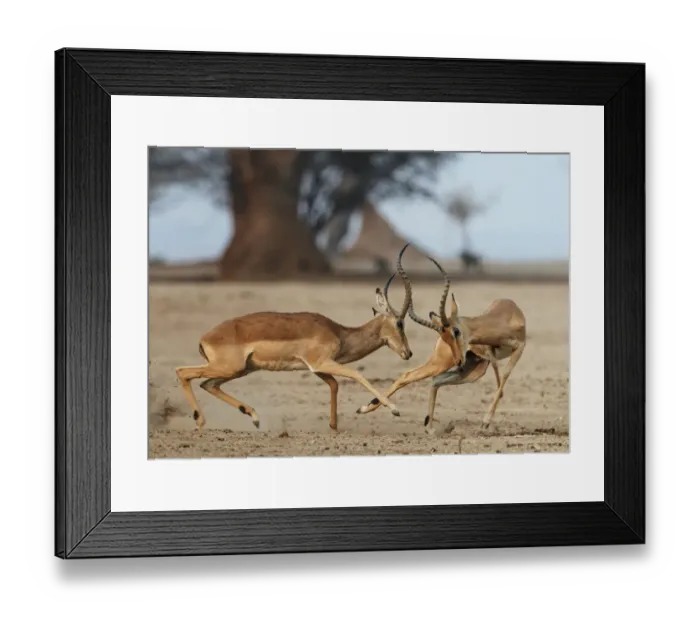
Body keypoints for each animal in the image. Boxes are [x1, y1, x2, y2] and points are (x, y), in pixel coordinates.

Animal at [174, 245, 418, 432]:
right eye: (400, 322)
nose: (408, 353)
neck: (339, 332)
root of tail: (205, 337)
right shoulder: (320, 362)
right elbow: (355, 374)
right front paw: (393, 409)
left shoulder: (316, 367)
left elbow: (334, 384)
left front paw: (334, 426)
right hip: (229, 368)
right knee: (183, 372)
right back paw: (201, 422)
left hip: (240, 369)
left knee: (207, 384)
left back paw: (254, 417)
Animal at [356, 255, 526, 431]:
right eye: (446, 337)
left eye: (456, 331)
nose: (459, 360)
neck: (504, 317)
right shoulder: (495, 352)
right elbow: (502, 376)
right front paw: (486, 421)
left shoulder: (517, 348)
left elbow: (503, 376)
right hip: (445, 363)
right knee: (411, 375)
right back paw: (373, 409)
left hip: (472, 369)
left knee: (436, 380)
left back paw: (428, 426)